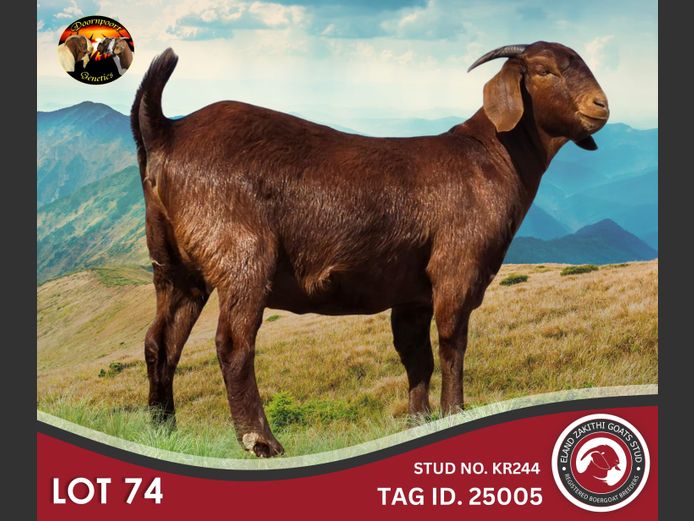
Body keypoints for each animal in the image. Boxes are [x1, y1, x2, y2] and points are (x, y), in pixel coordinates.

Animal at [131, 41, 609, 457]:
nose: (600, 105)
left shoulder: (413, 292)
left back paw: (163, 429)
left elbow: (416, 355)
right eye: (544, 70)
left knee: (161, 340)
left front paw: (419, 422)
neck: (492, 155)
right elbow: (452, 342)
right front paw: (454, 413)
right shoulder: (457, 268)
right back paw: (262, 442)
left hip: (173, 266)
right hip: (242, 255)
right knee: (233, 343)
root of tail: (168, 132)